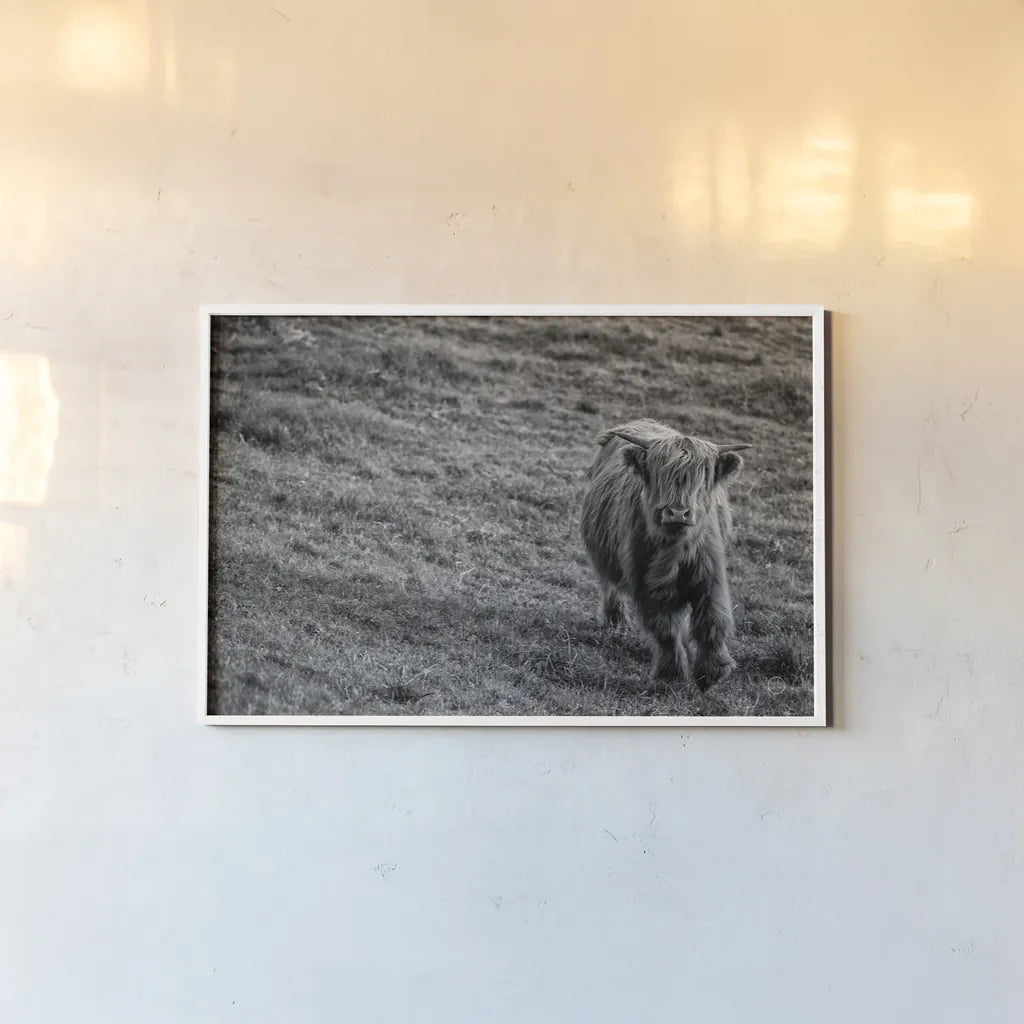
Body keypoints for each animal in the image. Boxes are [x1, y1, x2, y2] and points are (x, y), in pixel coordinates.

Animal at [580, 418, 751, 690]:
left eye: (702, 477)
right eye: (660, 474)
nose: (677, 513)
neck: (675, 550)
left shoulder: (711, 578)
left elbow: (713, 621)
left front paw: (712, 672)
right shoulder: (646, 584)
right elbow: (666, 629)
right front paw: (672, 674)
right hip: (604, 554)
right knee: (609, 585)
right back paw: (616, 621)